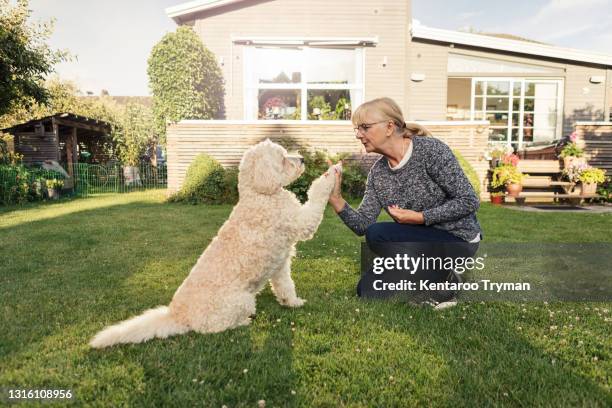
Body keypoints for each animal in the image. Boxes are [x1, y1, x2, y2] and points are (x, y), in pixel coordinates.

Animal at [89, 139, 340, 348]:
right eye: (282, 157)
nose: (302, 159)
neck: (260, 194)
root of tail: (177, 314)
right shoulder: (301, 222)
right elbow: (317, 197)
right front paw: (330, 176)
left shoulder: (280, 264)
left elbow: (286, 285)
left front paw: (293, 302)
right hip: (241, 301)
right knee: (214, 328)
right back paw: (242, 323)